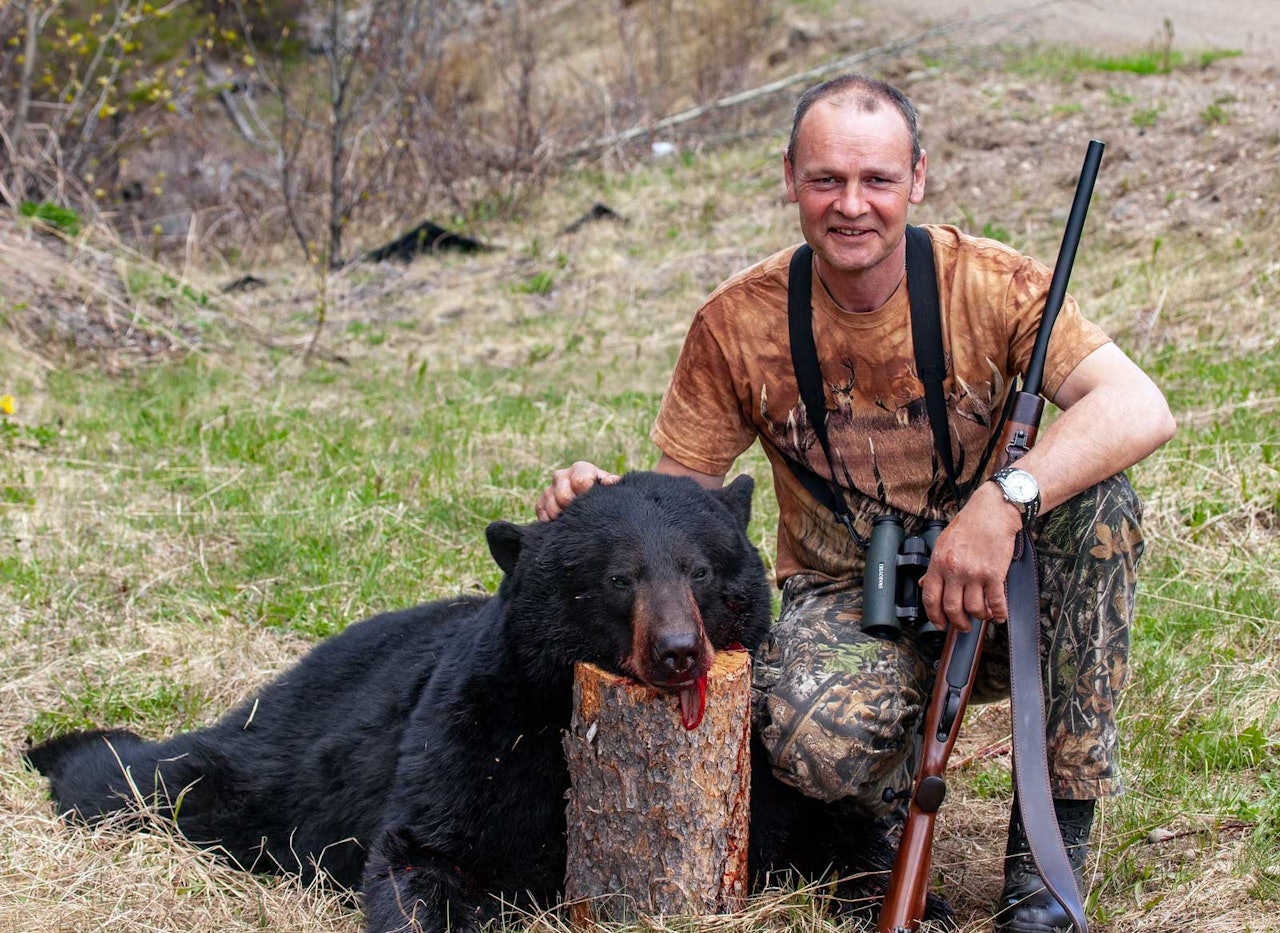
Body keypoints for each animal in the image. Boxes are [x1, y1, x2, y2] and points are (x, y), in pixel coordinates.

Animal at [24, 473, 947, 931]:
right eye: (616, 577)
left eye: (701, 567)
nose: (678, 650)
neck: (568, 722)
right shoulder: (484, 731)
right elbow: (428, 851)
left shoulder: (757, 761)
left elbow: (835, 826)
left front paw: (915, 900)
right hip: (273, 753)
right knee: (157, 778)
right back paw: (59, 746)